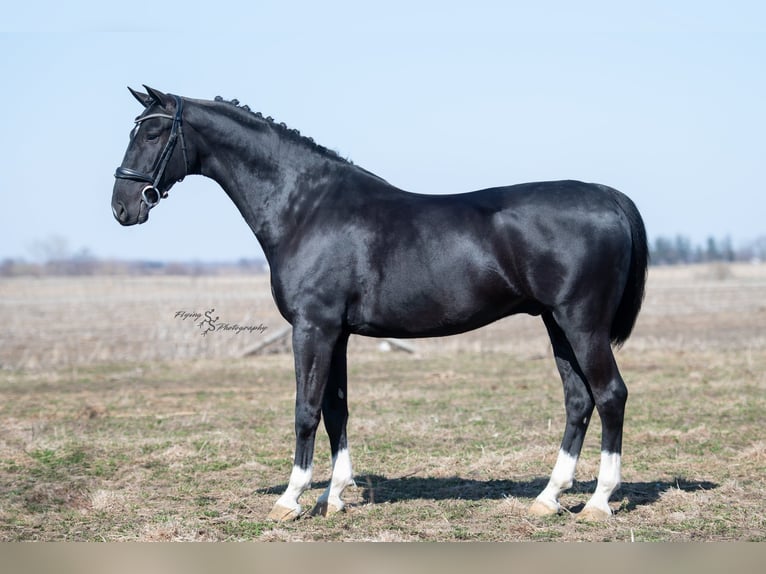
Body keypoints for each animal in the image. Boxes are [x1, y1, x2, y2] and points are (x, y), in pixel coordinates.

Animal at [112, 86, 648, 522]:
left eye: (154, 132)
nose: (123, 207)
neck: (307, 208)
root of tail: (608, 197)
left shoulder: (314, 328)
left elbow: (306, 409)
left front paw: (290, 499)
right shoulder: (338, 333)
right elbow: (337, 409)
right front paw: (334, 496)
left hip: (582, 324)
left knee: (610, 395)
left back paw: (599, 501)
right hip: (557, 324)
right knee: (578, 400)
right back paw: (548, 498)